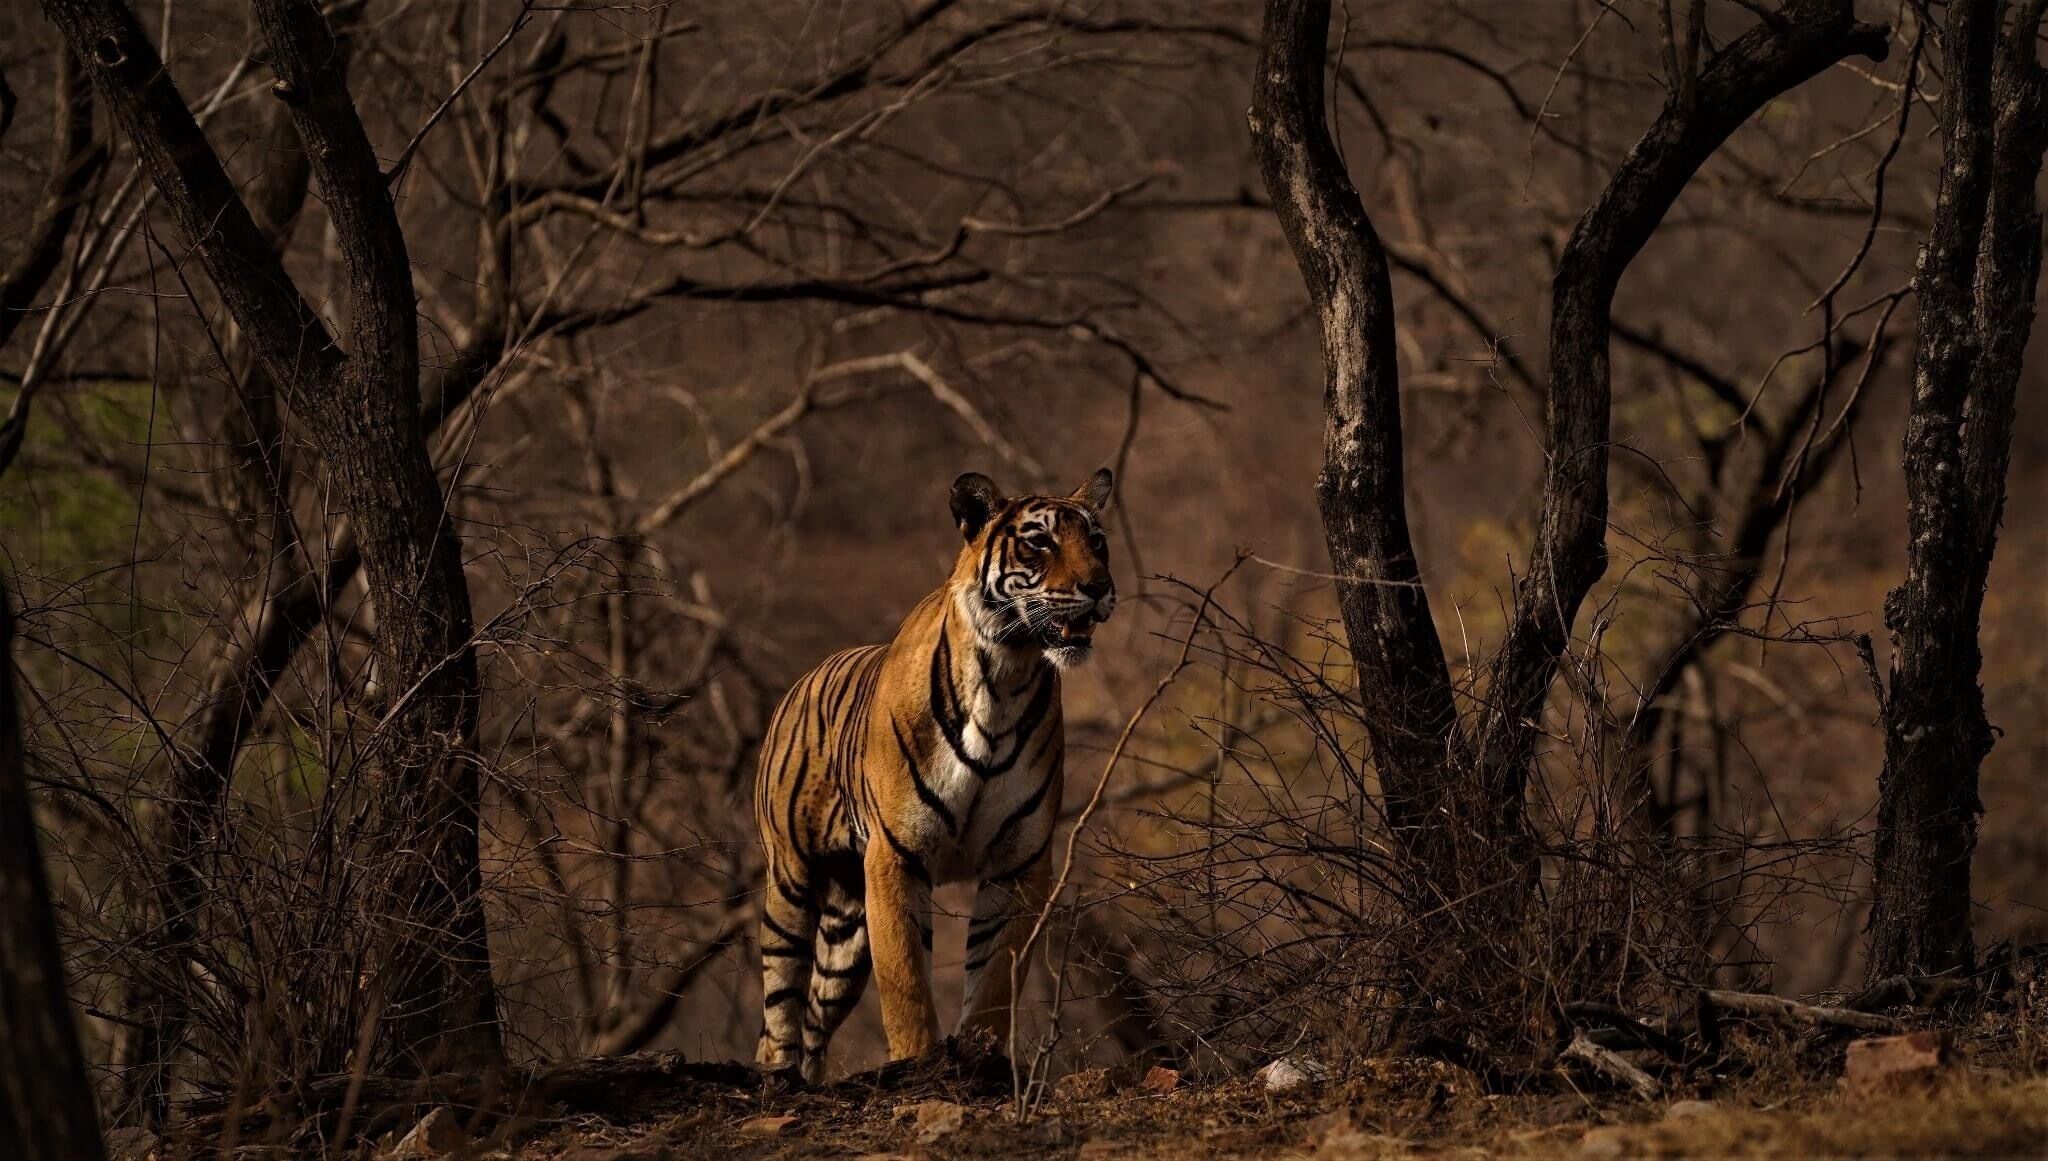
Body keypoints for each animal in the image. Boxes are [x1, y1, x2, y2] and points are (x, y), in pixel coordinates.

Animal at [752, 468, 1118, 1082]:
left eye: (1096, 541)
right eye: (1040, 542)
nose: (1098, 587)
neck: (1006, 676)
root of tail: (801, 681)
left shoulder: (1019, 862)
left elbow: (994, 978)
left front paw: (981, 1061)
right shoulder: (896, 856)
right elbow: (906, 981)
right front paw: (918, 1065)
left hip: (849, 934)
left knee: (814, 1016)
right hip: (791, 881)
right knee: (780, 1005)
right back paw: (776, 1079)